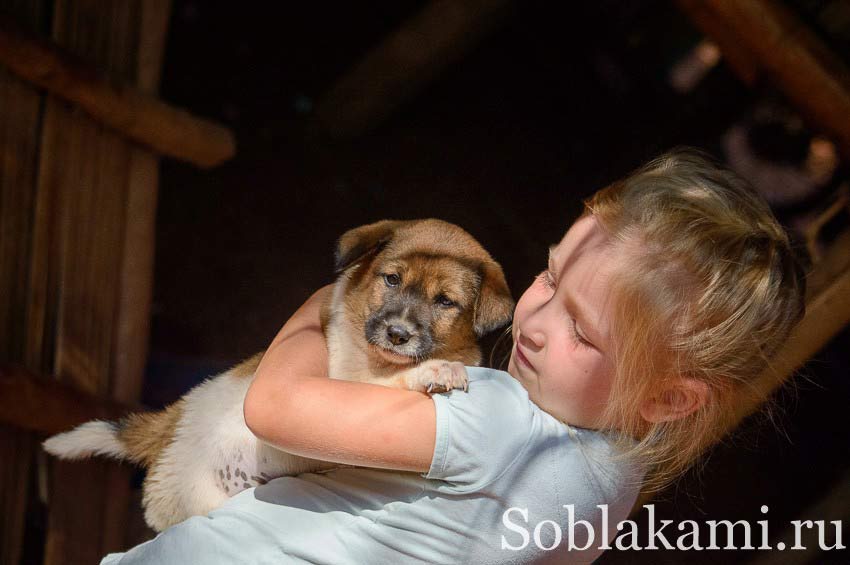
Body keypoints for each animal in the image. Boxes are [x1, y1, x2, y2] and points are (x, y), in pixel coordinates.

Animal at [44, 218, 510, 532]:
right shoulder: (340, 380)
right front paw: (434, 370)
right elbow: (389, 381)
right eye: (391, 279)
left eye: (445, 301)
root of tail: (173, 423)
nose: (398, 334)